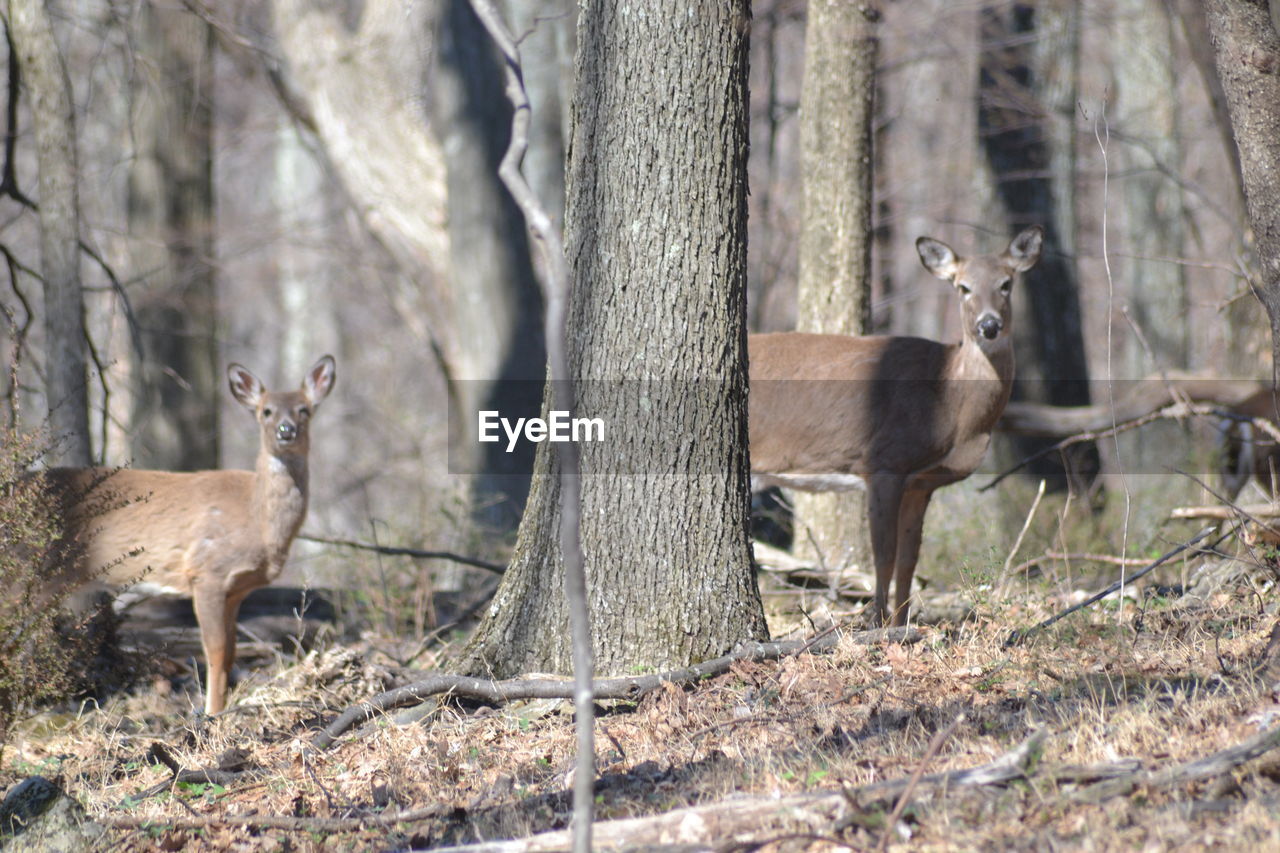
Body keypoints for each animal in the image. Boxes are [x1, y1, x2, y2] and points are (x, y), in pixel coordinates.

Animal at [43, 350, 337, 712]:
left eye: (304, 409)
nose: (286, 430)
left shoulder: (237, 589)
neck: (259, 521)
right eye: (265, 411)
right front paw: (212, 712)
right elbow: (215, 651)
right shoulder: (206, 571)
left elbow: (231, 651)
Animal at [747, 225, 1039, 625]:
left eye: (1006, 283)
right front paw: (877, 623)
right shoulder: (884, 461)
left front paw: (901, 623)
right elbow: (883, 556)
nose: (989, 326)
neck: (950, 403)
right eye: (962, 287)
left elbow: (909, 559)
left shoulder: (922, 482)